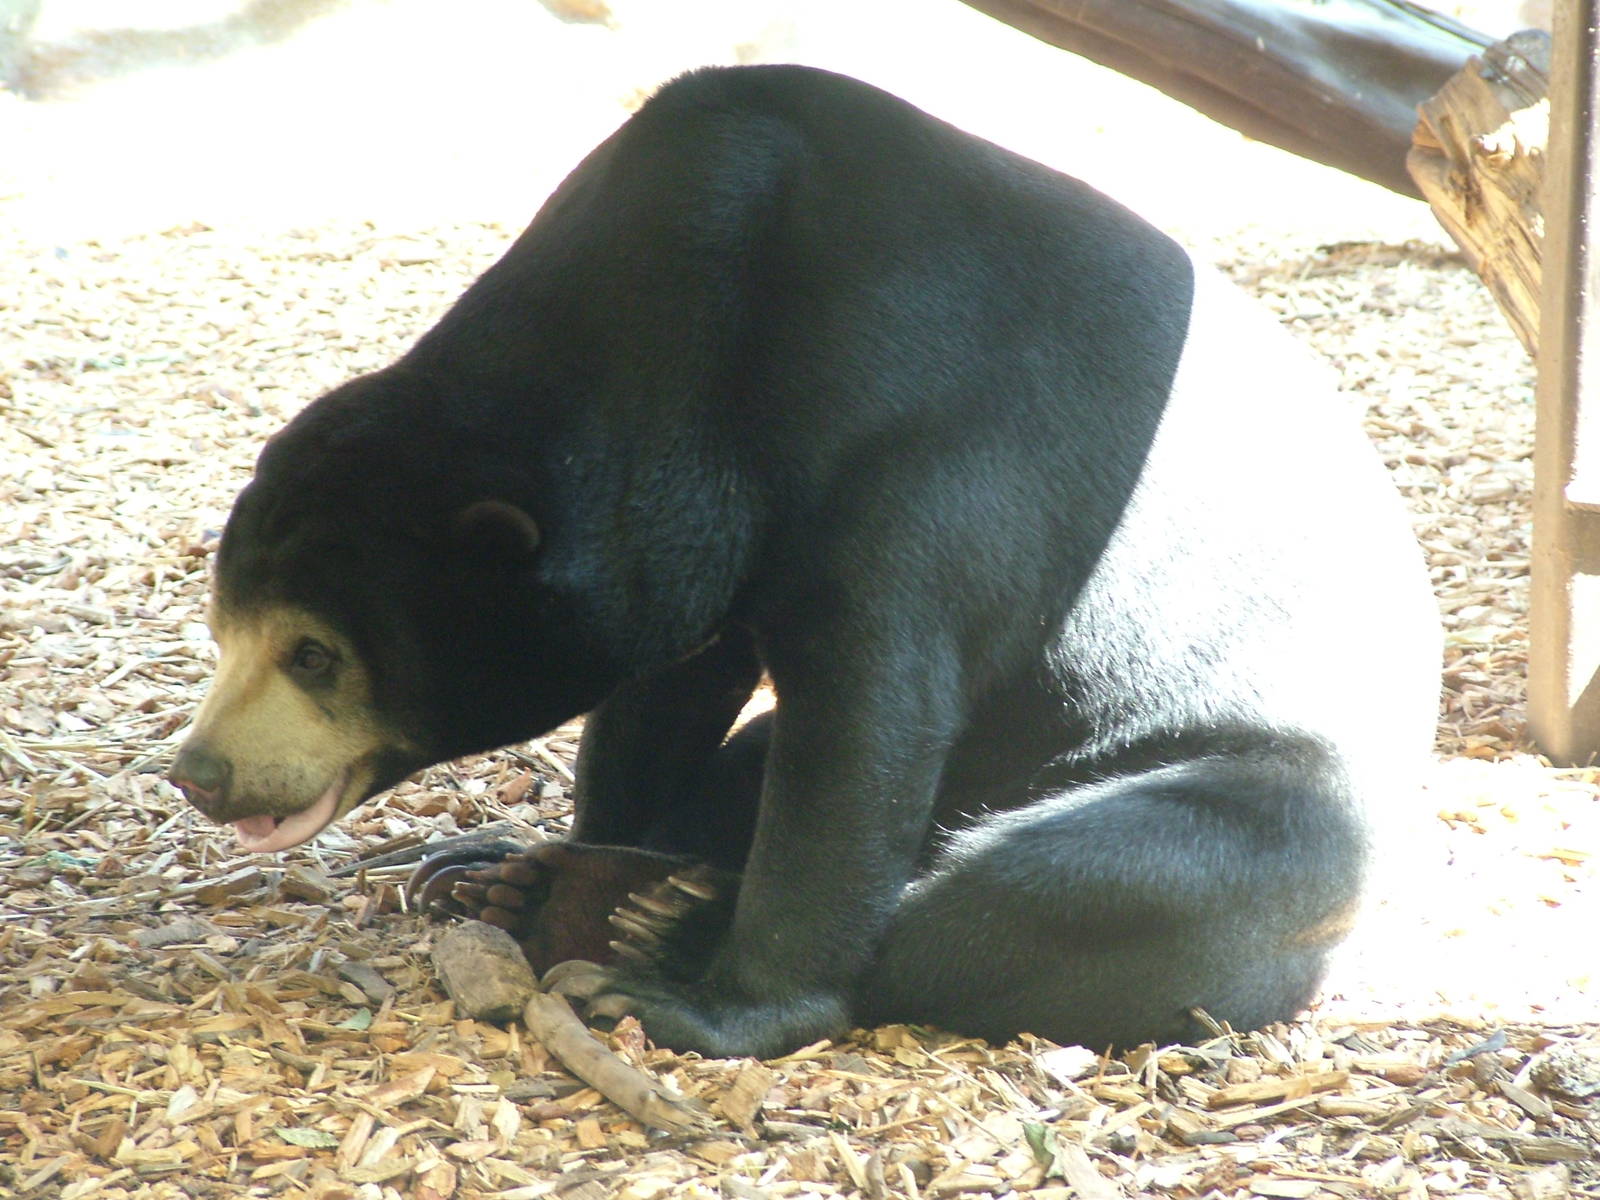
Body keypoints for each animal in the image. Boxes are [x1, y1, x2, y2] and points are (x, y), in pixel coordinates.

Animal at [168, 63, 1440, 1059]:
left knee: (1058, 893)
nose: (201, 774)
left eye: (314, 653)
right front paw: (532, 866)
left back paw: (671, 924)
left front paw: (703, 1003)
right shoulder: (689, 532)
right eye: (225, 629)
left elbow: (867, 727)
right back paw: (526, 879)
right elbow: (669, 689)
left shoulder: (926, 465)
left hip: (1276, 805)